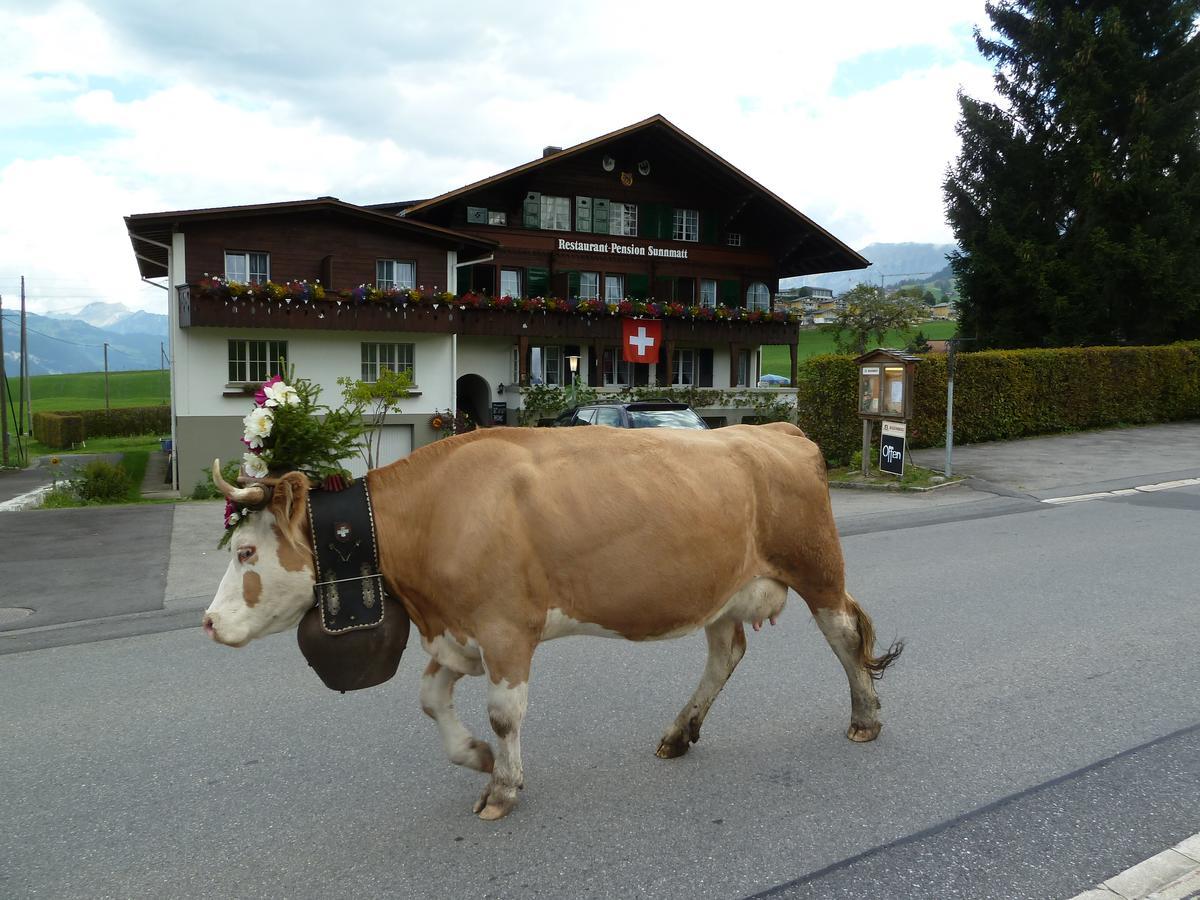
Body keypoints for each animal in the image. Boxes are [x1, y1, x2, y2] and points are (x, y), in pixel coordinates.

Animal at [204, 422, 902, 825]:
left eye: (247, 553)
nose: (209, 623)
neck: (432, 515)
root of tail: (778, 428)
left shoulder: (506, 628)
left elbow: (504, 713)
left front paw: (503, 788)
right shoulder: (459, 633)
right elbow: (431, 698)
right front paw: (478, 758)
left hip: (816, 567)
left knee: (844, 635)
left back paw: (865, 718)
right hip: (725, 589)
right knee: (725, 652)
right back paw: (679, 733)